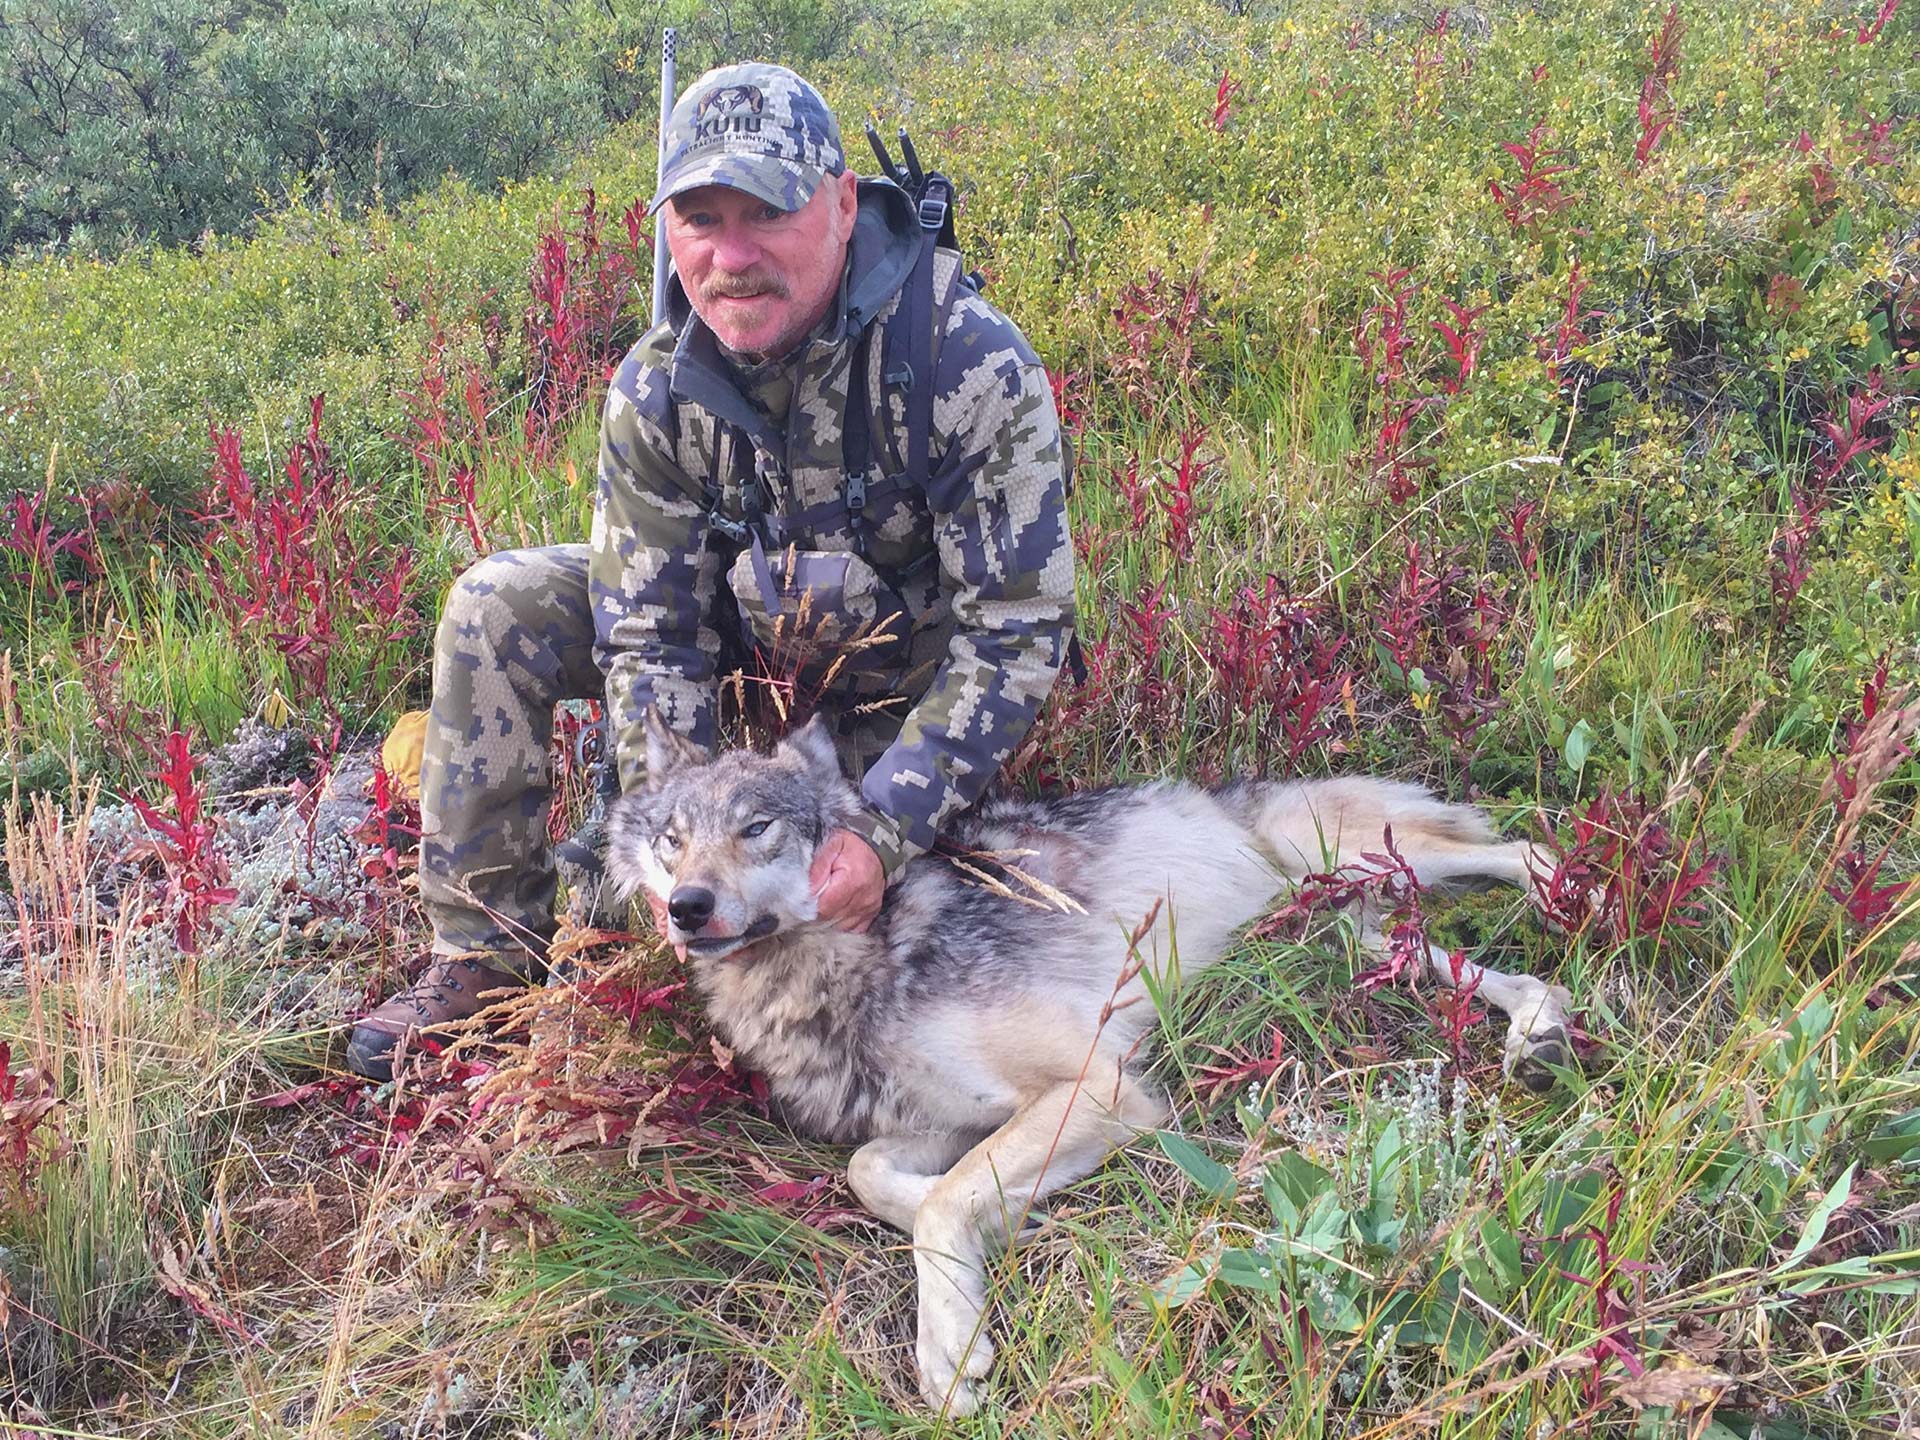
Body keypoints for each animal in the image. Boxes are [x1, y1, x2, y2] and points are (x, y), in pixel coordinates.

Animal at [606, 718, 1566, 1413]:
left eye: (757, 828)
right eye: (671, 841)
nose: (688, 908)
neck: (854, 963)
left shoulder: (1102, 1088)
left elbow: (943, 1205)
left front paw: (949, 1345)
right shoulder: (956, 1119)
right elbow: (873, 1173)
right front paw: (1011, 1227)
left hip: (1340, 854)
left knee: (1523, 849)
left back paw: (1569, 898)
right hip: (1342, 930)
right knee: (1470, 964)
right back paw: (1539, 1027)